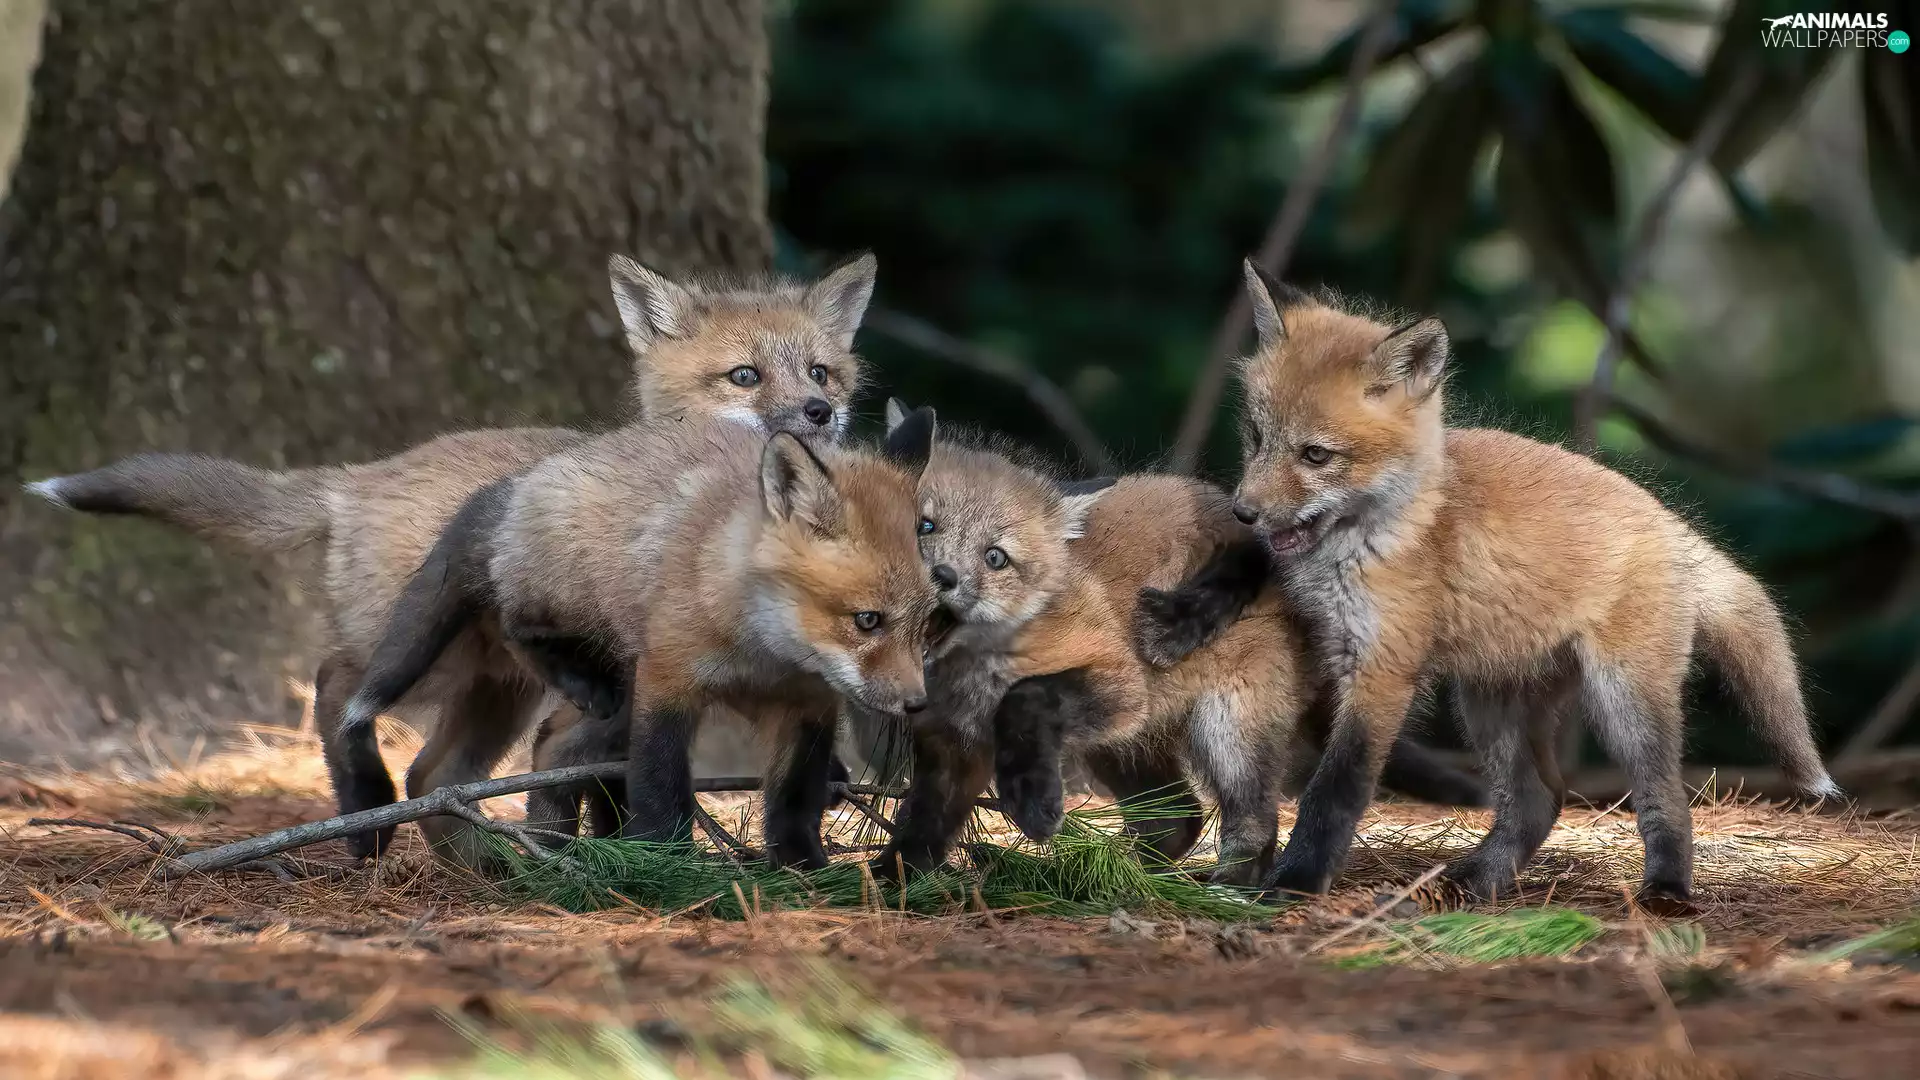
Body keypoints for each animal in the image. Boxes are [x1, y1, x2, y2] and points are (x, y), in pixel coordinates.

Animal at [24, 252, 879, 858]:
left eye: (820, 371)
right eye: (744, 375)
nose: (820, 411)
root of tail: (358, 477)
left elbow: (604, 786)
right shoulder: (627, 687)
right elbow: (610, 783)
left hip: (496, 693)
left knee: (434, 777)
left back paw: (485, 868)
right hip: (427, 661)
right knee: (337, 686)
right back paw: (371, 815)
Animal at [335, 408, 943, 868]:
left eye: (926, 621)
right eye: (868, 620)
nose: (917, 704)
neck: (764, 652)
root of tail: (524, 478)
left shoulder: (807, 705)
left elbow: (795, 799)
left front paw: (803, 870)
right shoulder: (668, 679)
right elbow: (659, 783)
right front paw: (665, 866)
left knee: (553, 748)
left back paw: (554, 844)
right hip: (572, 611)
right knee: (516, 625)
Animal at [1132, 259, 1841, 907]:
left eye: (1316, 455)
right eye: (1256, 437)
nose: (1244, 509)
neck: (1353, 548)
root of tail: (1664, 518)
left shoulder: (1383, 669)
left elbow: (1334, 789)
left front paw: (1298, 881)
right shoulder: (1295, 583)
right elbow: (1243, 564)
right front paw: (1179, 620)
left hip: (1622, 699)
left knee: (1665, 794)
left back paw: (1665, 889)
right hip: (1491, 702)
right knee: (1539, 799)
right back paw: (1477, 881)